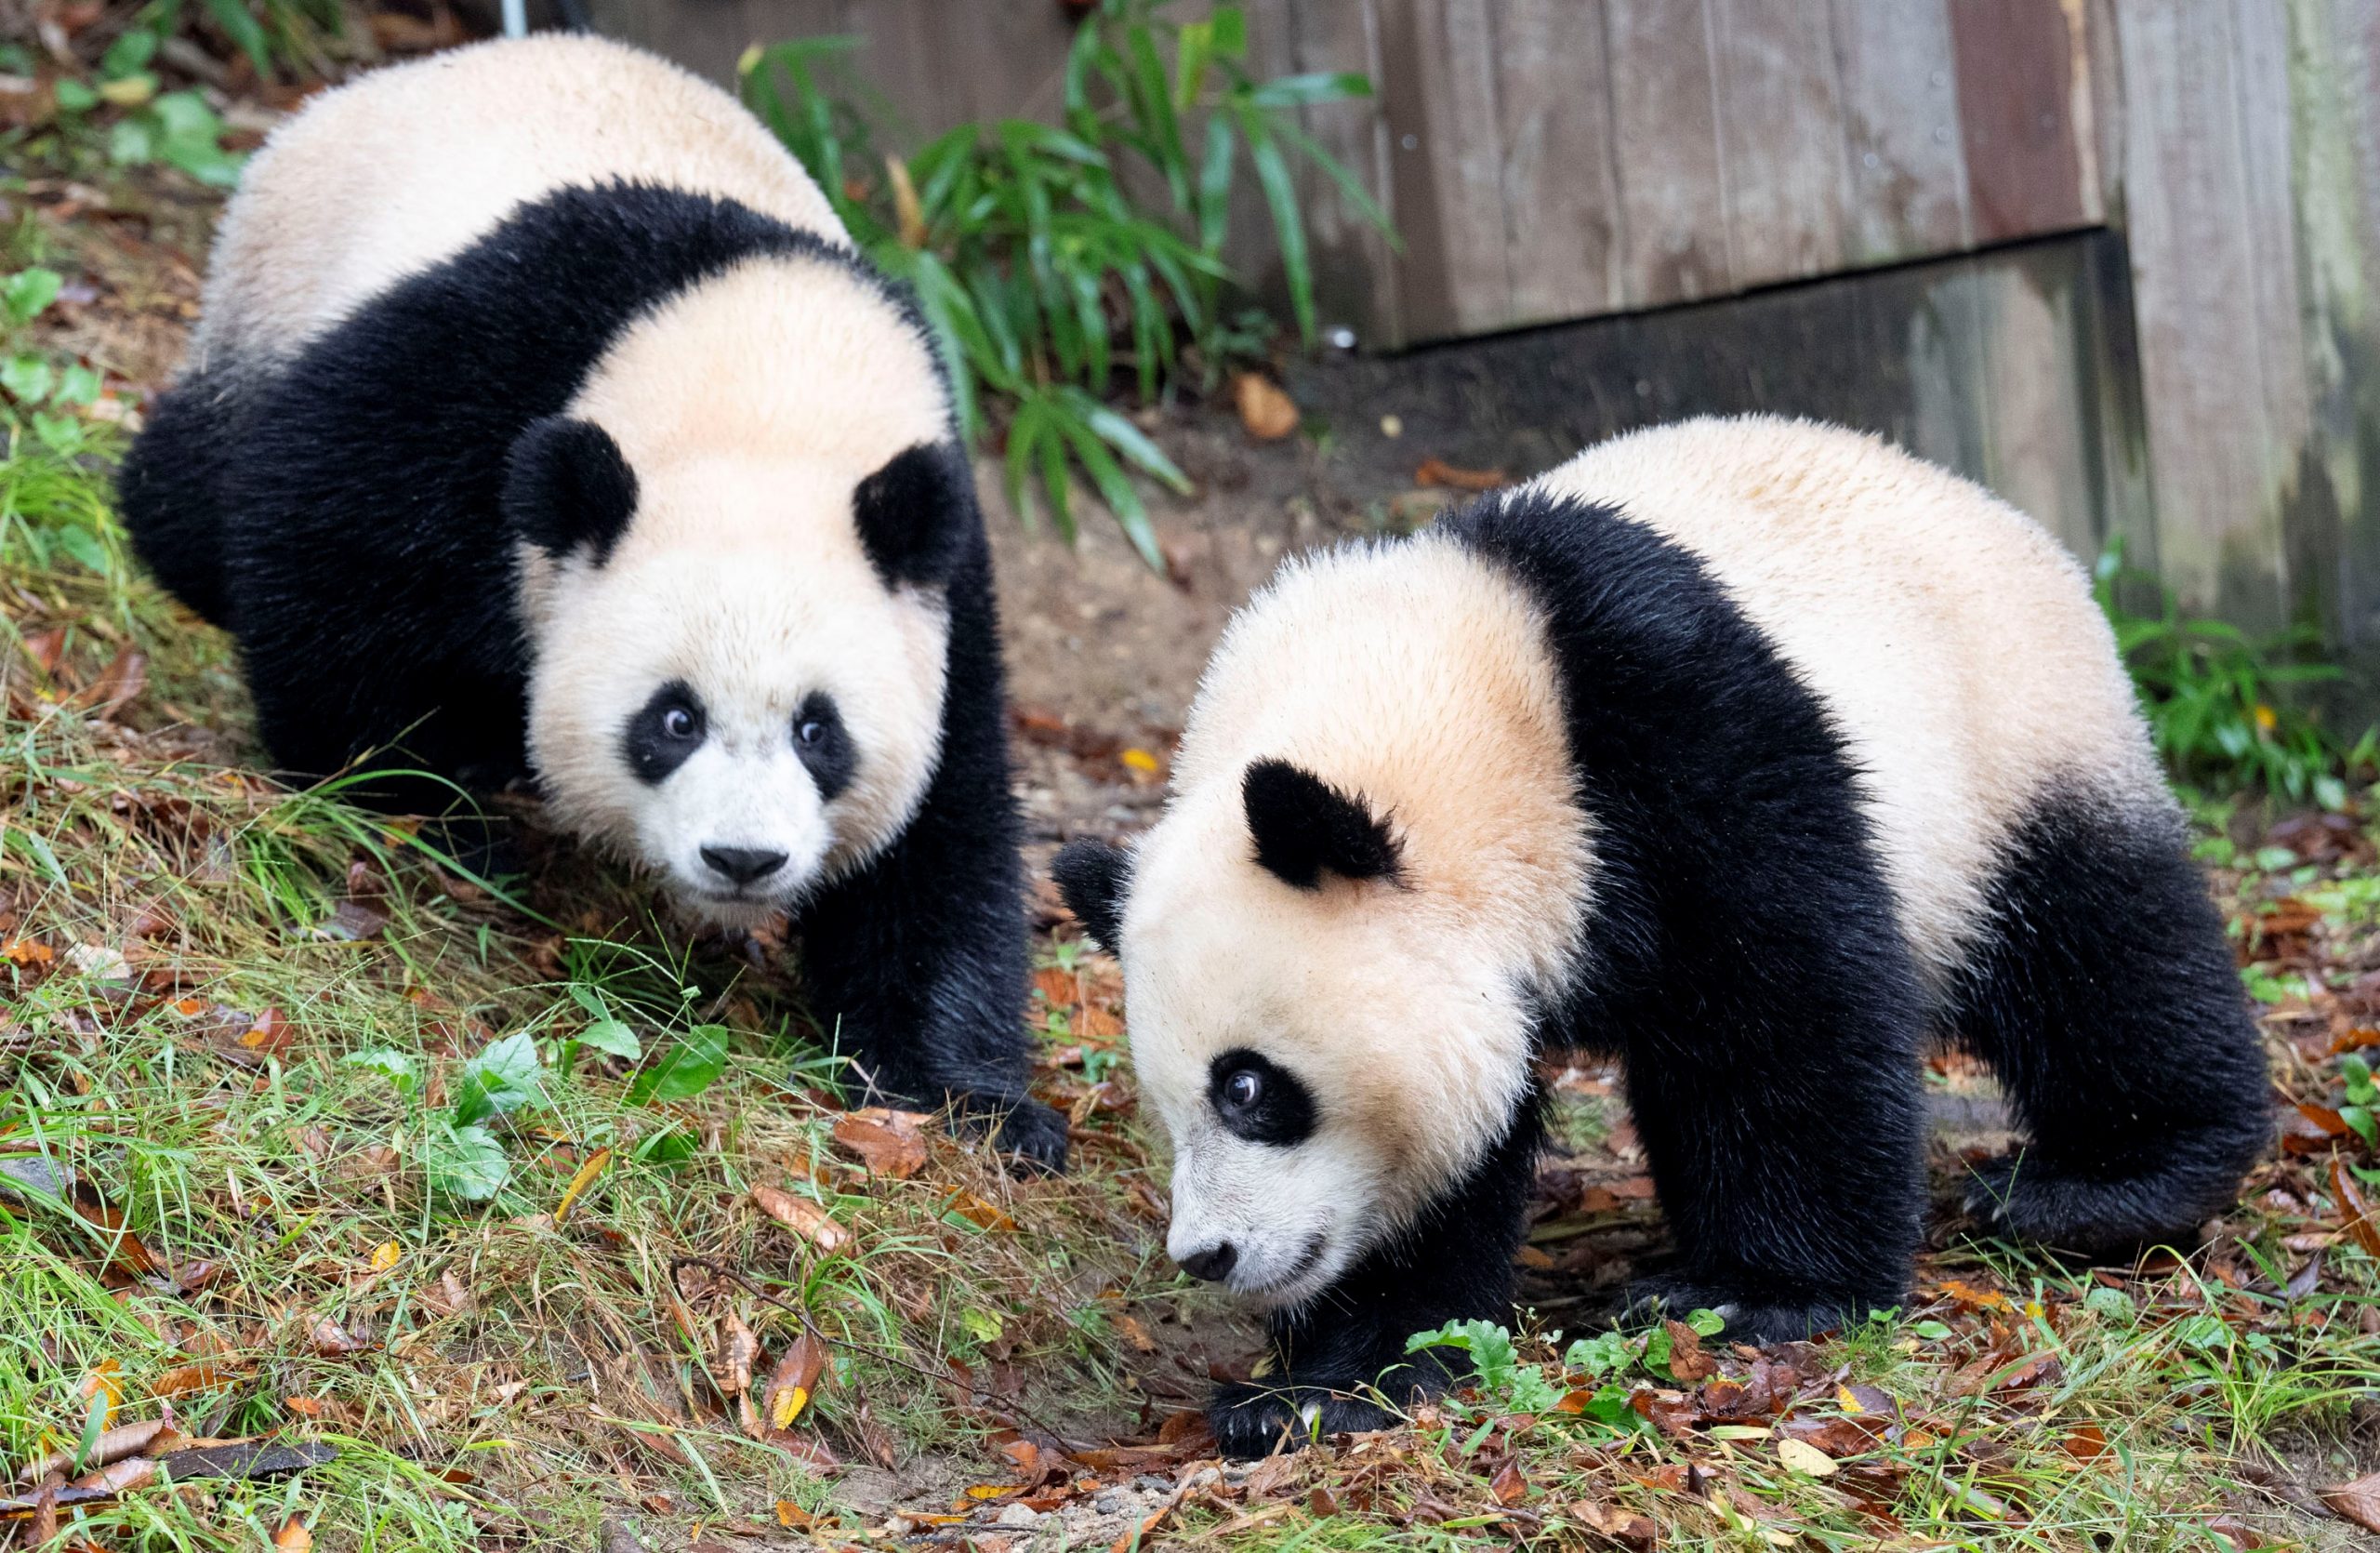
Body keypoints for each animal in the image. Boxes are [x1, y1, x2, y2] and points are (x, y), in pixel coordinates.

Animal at [118, 33, 1071, 1161]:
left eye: (818, 731)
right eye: (673, 718)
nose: (742, 857)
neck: (772, 390)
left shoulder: (939, 579)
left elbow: (943, 836)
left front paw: (974, 1102)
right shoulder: (490, 374)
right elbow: (319, 543)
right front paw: (423, 809)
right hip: (276, 293)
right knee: (189, 493)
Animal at [1061, 414, 2266, 1457]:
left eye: (1248, 1087)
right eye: (1166, 1103)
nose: (1209, 1254)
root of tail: (1988, 504)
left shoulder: (1678, 741)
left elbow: (1781, 1014)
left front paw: (1755, 1291)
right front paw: (1323, 1383)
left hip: (2011, 738)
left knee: (2098, 945)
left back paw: (2102, 1183)